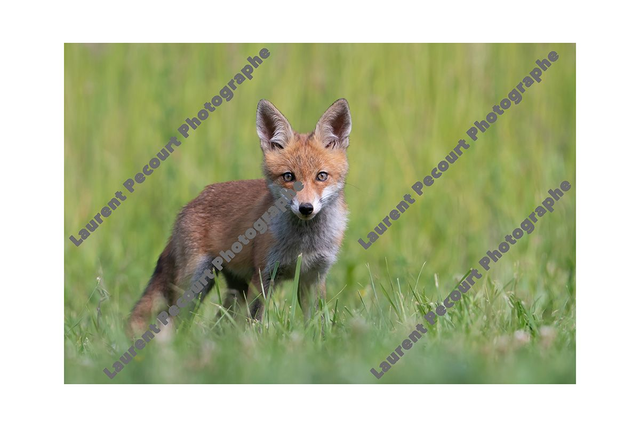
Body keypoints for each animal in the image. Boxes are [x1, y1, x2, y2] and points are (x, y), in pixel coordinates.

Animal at [128, 98, 352, 334]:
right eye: (288, 176)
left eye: (322, 176)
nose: (306, 208)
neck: (304, 243)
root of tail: (191, 203)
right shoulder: (264, 274)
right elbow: (255, 322)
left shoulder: (314, 277)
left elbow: (317, 322)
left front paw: (320, 339)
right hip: (196, 284)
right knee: (177, 319)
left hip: (236, 289)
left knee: (221, 322)